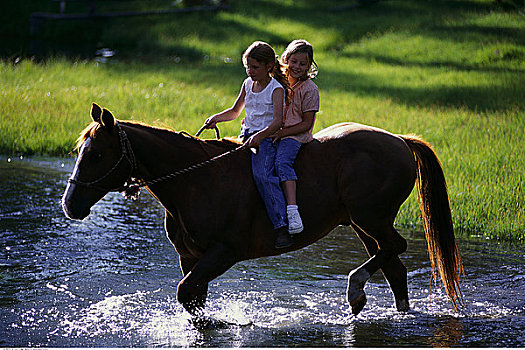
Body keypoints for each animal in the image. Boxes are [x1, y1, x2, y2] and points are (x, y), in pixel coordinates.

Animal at [62, 102, 462, 316]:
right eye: (81, 150)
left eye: (96, 154)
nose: (70, 204)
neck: (197, 180)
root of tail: (400, 141)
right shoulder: (191, 258)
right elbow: (193, 301)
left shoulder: (223, 253)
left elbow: (185, 293)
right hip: (362, 224)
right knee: (393, 265)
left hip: (371, 218)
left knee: (395, 249)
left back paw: (355, 288)